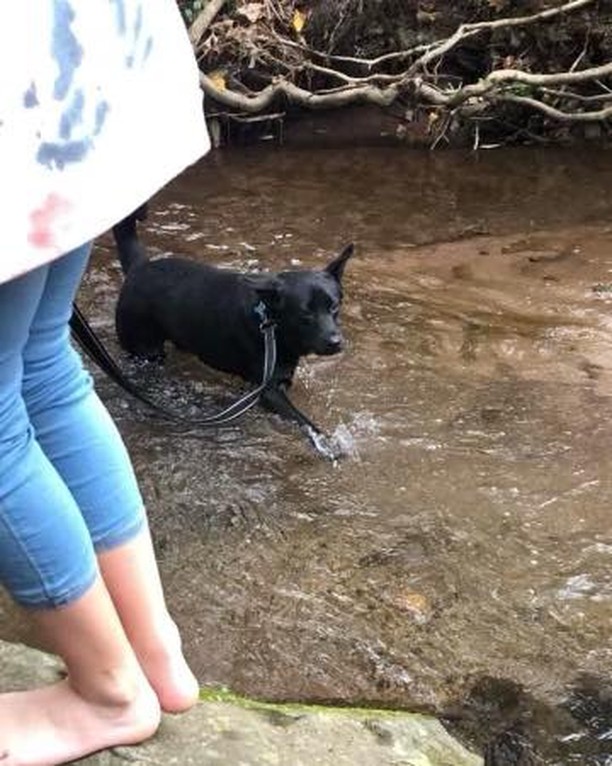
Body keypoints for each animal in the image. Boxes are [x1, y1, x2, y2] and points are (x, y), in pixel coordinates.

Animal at [112, 206, 354, 456]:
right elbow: (302, 420)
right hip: (145, 349)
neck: (269, 322)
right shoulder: (267, 392)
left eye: (334, 307)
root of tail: (139, 267)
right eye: (305, 314)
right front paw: (327, 442)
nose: (336, 342)